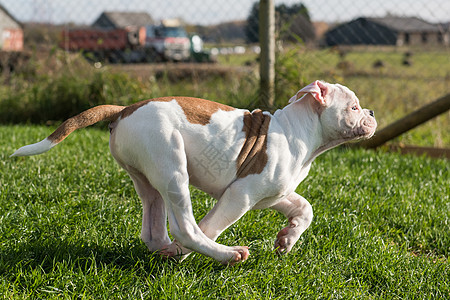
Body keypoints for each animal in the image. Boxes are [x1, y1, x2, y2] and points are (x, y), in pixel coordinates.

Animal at [11, 80, 376, 264]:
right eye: (354, 107)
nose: (372, 112)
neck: (300, 131)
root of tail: (126, 108)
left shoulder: (275, 194)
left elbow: (305, 208)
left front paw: (287, 239)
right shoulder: (240, 195)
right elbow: (211, 224)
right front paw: (191, 254)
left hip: (148, 178)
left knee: (153, 228)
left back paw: (165, 249)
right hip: (173, 170)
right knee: (185, 227)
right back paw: (223, 254)